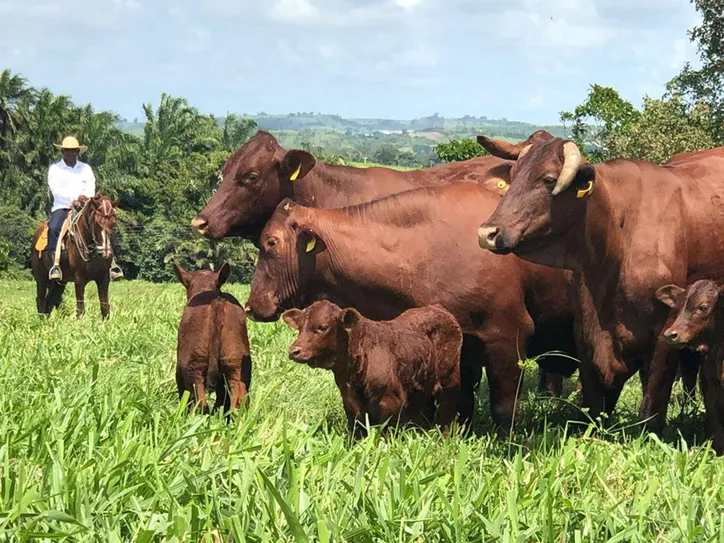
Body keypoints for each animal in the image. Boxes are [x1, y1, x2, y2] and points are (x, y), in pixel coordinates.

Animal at [280, 300, 460, 440]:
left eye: (323, 327)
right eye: (300, 327)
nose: (294, 351)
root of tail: (438, 308)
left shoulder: (390, 400)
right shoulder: (349, 399)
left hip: (450, 382)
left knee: (447, 413)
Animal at [476, 134, 724, 432]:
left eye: (548, 179)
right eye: (512, 176)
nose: (488, 233)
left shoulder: (668, 331)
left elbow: (652, 405)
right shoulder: (585, 329)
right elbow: (593, 404)